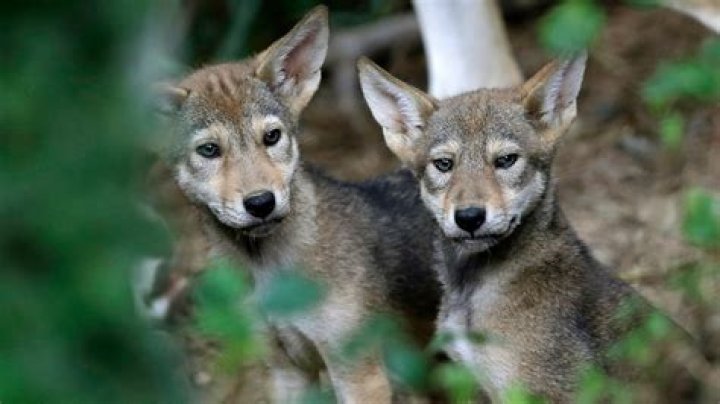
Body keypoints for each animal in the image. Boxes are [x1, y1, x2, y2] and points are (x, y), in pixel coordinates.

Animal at [153, 6, 440, 403]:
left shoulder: (359, 374)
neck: (267, 270)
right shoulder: (285, 370)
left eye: (272, 137)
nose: (261, 203)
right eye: (209, 150)